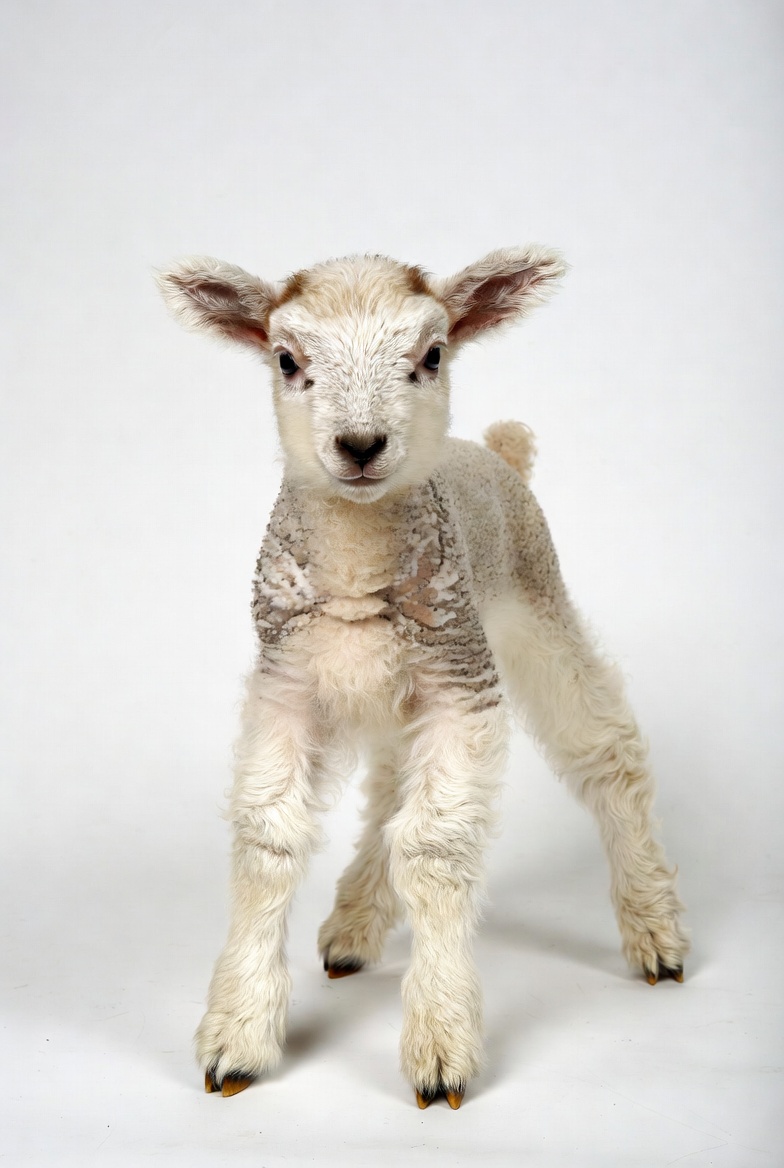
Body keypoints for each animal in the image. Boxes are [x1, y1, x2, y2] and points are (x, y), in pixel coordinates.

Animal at [157, 247, 689, 1109]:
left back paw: (655, 930)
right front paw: (238, 1033)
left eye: (433, 355)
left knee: (608, 753)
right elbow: (268, 840)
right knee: (387, 795)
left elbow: (436, 848)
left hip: (535, 611)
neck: (354, 564)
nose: (360, 444)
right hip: (397, 689)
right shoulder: (287, 686)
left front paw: (440, 1045)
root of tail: (494, 451)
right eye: (287, 360)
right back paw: (353, 924)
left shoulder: (461, 685)